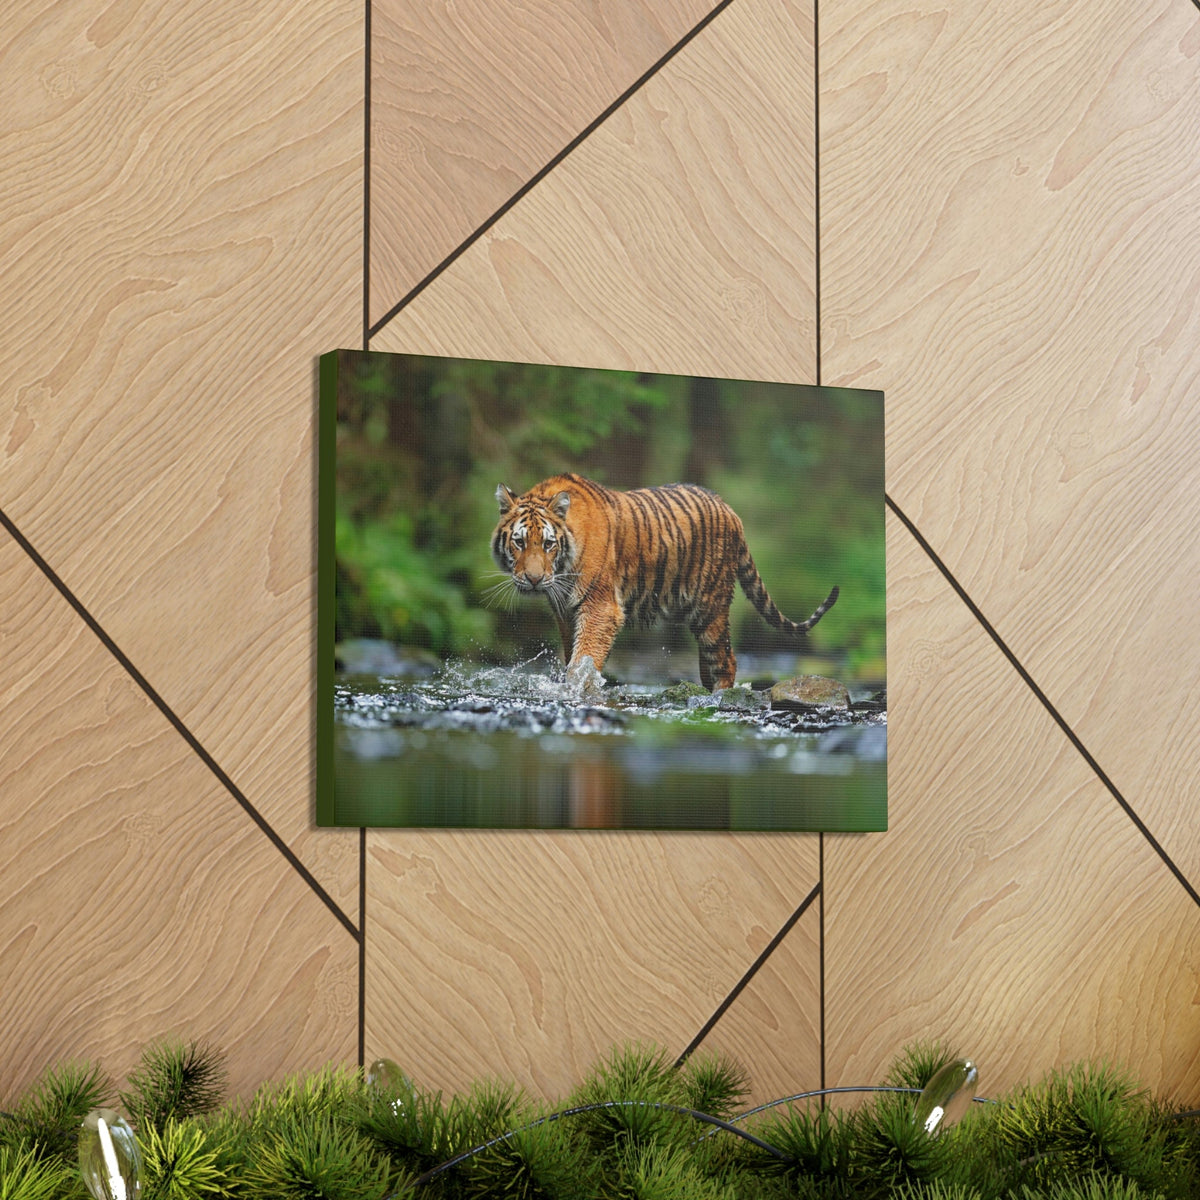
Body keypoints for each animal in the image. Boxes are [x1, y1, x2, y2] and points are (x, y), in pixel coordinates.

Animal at [490, 472, 838, 691]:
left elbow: (584, 658)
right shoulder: (565, 611)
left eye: (548, 544)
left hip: (710, 609)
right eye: (519, 542)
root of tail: (730, 510)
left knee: (726, 660)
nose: (534, 579)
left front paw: (578, 687)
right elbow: (571, 654)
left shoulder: (601, 607)